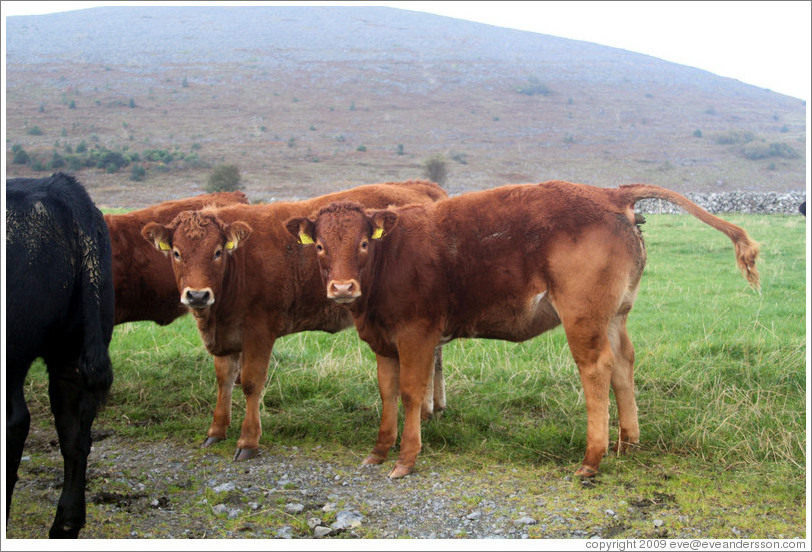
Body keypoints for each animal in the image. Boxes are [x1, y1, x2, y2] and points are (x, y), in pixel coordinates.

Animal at [5, 171, 116, 536]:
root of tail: (56, 186)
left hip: (13, 353)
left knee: (15, 420)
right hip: (73, 350)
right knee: (75, 429)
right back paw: (66, 524)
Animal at [140, 179, 444, 460]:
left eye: (217, 251)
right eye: (176, 253)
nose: (197, 295)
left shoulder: (259, 332)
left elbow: (251, 383)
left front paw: (248, 441)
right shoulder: (226, 336)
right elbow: (223, 380)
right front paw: (216, 430)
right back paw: (433, 409)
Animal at [288, 181, 760, 478]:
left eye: (364, 243)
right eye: (320, 246)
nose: (342, 288)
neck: (390, 259)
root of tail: (608, 192)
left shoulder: (416, 335)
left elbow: (409, 393)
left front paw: (406, 460)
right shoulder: (383, 341)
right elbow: (386, 394)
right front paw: (378, 453)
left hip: (583, 318)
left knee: (597, 370)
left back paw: (592, 459)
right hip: (615, 315)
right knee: (624, 365)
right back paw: (628, 443)